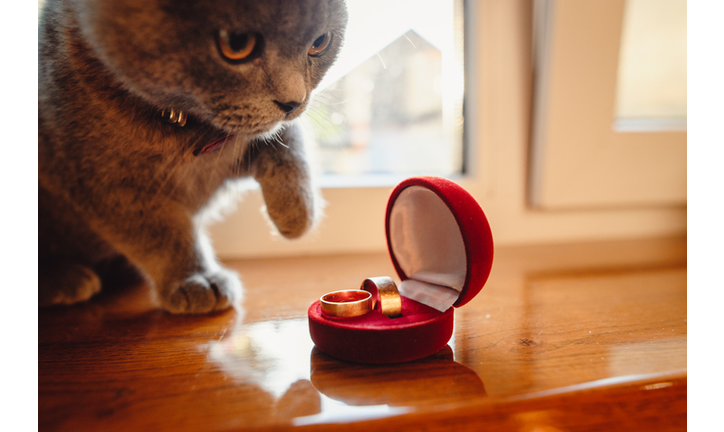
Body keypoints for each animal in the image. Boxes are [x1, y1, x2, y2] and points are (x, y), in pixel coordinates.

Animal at [36, 0, 348, 310]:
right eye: (237, 44)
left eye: (320, 43)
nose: (293, 102)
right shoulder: (106, 184)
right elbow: (162, 232)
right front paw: (196, 279)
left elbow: (289, 147)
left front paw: (297, 214)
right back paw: (65, 279)